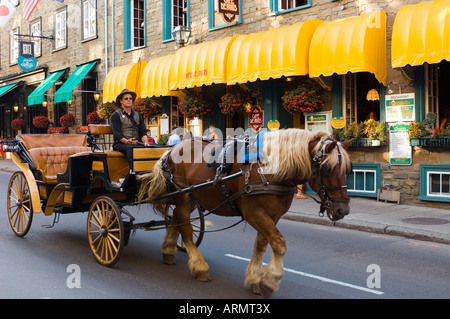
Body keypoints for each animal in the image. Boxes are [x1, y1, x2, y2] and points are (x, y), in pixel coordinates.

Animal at [139, 129, 354, 298]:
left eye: (347, 170)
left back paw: (168, 251)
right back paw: (199, 266)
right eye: (326, 169)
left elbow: (262, 245)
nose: (342, 210)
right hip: (183, 195)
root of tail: (172, 149)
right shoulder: (254, 213)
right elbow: (279, 243)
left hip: (192, 197)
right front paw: (270, 280)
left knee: (176, 219)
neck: (269, 169)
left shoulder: (272, 215)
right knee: (185, 229)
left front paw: (255, 278)